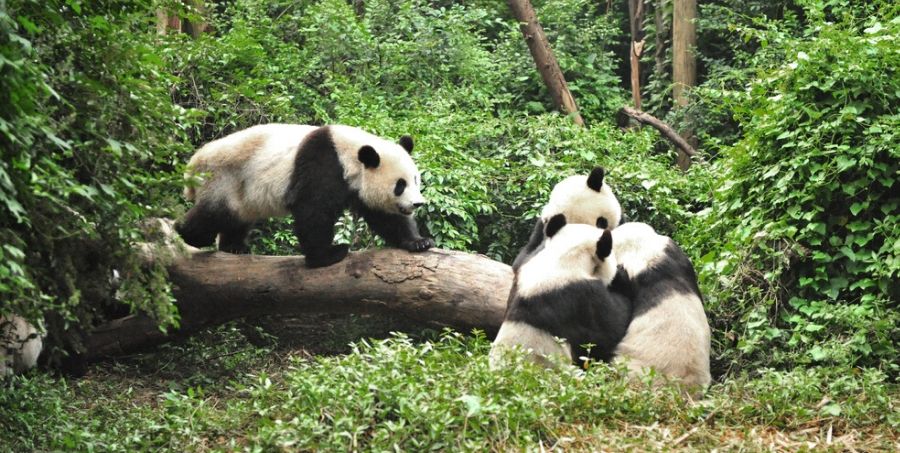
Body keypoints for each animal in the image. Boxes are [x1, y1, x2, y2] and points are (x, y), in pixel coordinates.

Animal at [176, 122, 436, 266]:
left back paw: (234, 246)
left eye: (416, 180)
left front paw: (418, 241)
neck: (350, 155)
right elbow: (313, 211)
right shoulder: (323, 165)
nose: (417, 204)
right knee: (213, 214)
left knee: (236, 217)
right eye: (400, 185)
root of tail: (194, 163)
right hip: (223, 178)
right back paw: (186, 234)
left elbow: (385, 216)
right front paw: (328, 255)